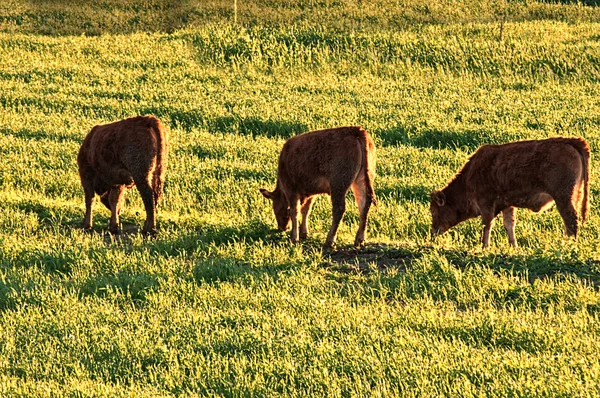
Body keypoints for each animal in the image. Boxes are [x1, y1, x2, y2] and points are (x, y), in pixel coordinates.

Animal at [432, 138, 592, 247]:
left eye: (434, 212)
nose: (433, 231)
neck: (470, 175)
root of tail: (571, 142)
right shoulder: (507, 205)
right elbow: (509, 224)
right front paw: (513, 246)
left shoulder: (486, 204)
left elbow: (487, 225)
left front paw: (484, 247)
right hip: (574, 196)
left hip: (563, 197)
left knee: (571, 220)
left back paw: (568, 245)